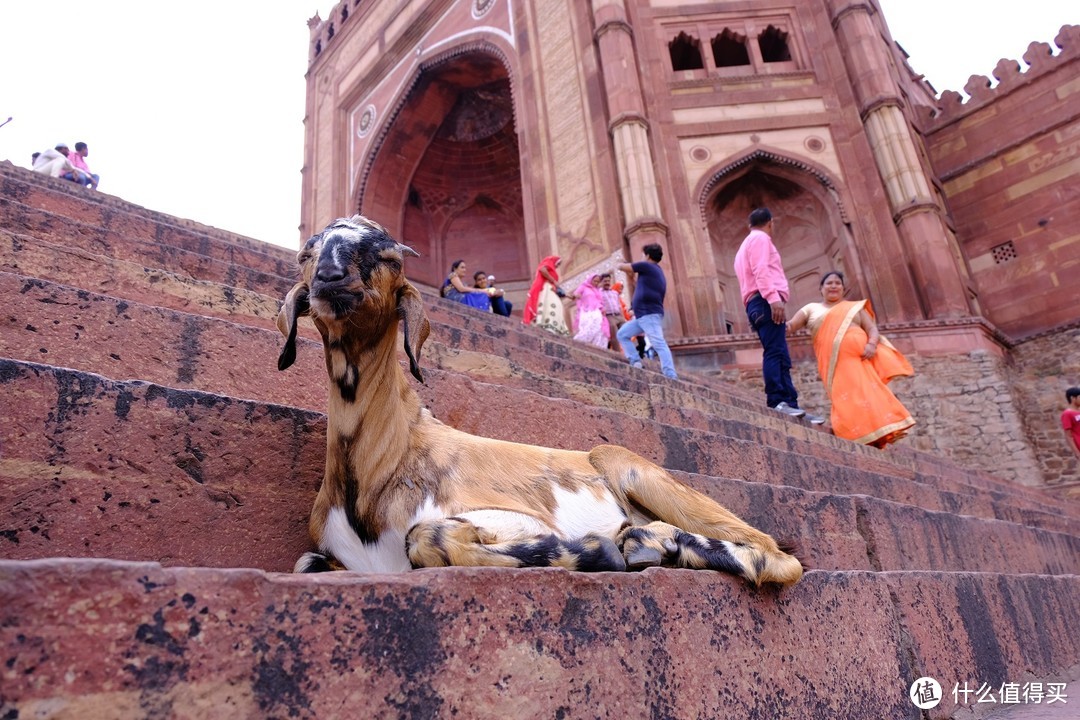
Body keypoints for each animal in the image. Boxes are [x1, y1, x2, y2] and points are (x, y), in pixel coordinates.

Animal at [278, 213, 803, 587]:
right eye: (308, 250)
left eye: (388, 255)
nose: (330, 276)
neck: (379, 462)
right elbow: (306, 562)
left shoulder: (510, 516)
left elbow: (426, 535)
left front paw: (592, 551)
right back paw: (650, 542)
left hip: (634, 468)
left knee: (775, 554)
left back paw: (649, 544)